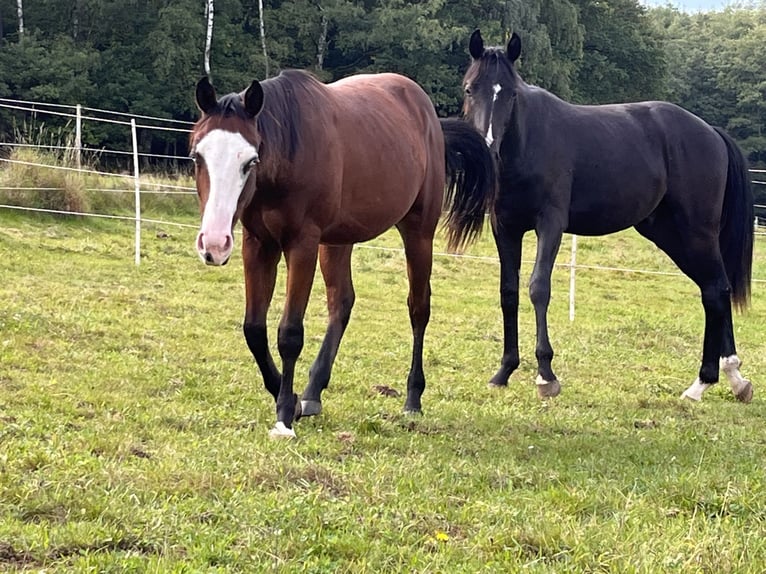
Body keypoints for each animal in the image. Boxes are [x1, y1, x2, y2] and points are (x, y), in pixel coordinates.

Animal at [190, 70, 496, 438]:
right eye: (197, 156)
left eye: (251, 161)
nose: (214, 243)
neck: (291, 153)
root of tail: (430, 119)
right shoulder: (258, 243)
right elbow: (254, 329)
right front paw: (292, 399)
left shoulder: (302, 244)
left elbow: (289, 333)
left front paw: (284, 416)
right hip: (337, 240)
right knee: (342, 302)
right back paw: (312, 393)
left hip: (418, 232)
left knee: (418, 308)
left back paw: (412, 398)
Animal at [462, 29, 754, 403]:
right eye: (471, 89)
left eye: (511, 93)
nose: (488, 149)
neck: (527, 144)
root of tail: (710, 132)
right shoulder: (506, 228)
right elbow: (508, 292)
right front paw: (504, 371)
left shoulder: (550, 225)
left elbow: (539, 288)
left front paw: (546, 376)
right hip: (672, 235)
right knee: (715, 290)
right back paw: (728, 379)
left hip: (697, 232)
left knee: (717, 290)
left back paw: (707, 382)